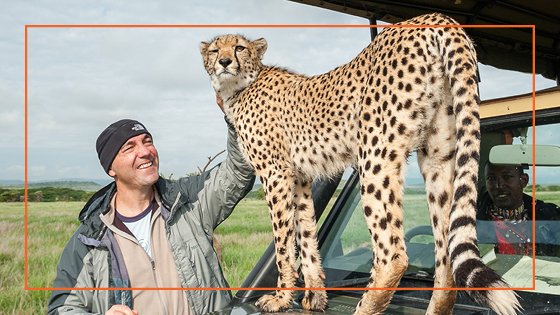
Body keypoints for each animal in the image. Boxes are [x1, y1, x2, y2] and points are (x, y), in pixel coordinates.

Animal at [200, 12, 520, 315]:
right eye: (215, 50)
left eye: (239, 47)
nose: (225, 61)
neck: (242, 86)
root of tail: (434, 17)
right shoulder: (300, 177)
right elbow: (306, 234)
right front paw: (314, 298)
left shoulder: (275, 174)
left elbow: (283, 243)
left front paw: (280, 299)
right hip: (437, 158)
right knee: (445, 258)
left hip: (375, 154)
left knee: (393, 254)